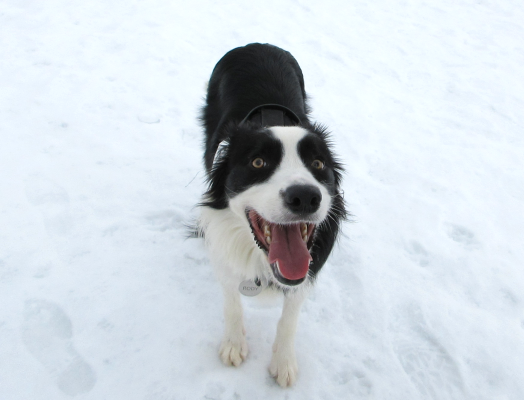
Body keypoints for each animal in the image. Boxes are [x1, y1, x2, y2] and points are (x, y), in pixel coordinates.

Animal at [198, 43, 346, 387]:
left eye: (318, 164)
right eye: (258, 163)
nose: (305, 197)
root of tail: (256, 44)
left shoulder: (303, 274)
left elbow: (290, 315)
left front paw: (283, 362)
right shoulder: (223, 251)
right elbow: (231, 300)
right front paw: (233, 345)